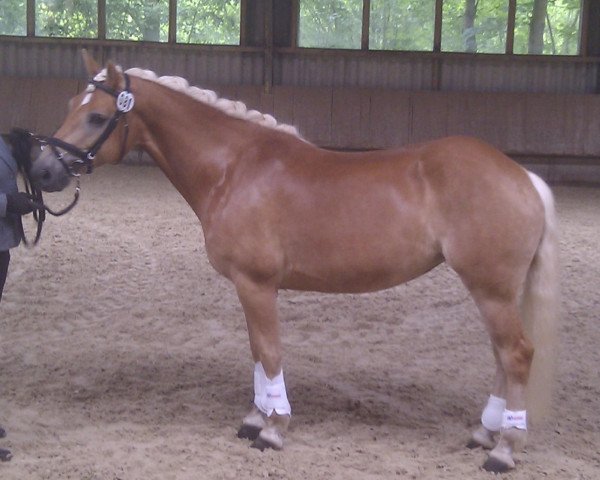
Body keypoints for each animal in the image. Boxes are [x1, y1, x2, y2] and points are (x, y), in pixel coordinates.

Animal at [30, 51, 560, 472]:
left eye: (98, 117)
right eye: (70, 107)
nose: (42, 170)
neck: (234, 168)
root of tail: (522, 176)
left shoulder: (257, 283)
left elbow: (269, 351)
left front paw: (273, 428)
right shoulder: (247, 286)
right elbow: (256, 352)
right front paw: (254, 418)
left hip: (490, 288)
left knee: (516, 354)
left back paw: (504, 448)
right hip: (493, 291)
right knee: (501, 354)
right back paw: (485, 433)